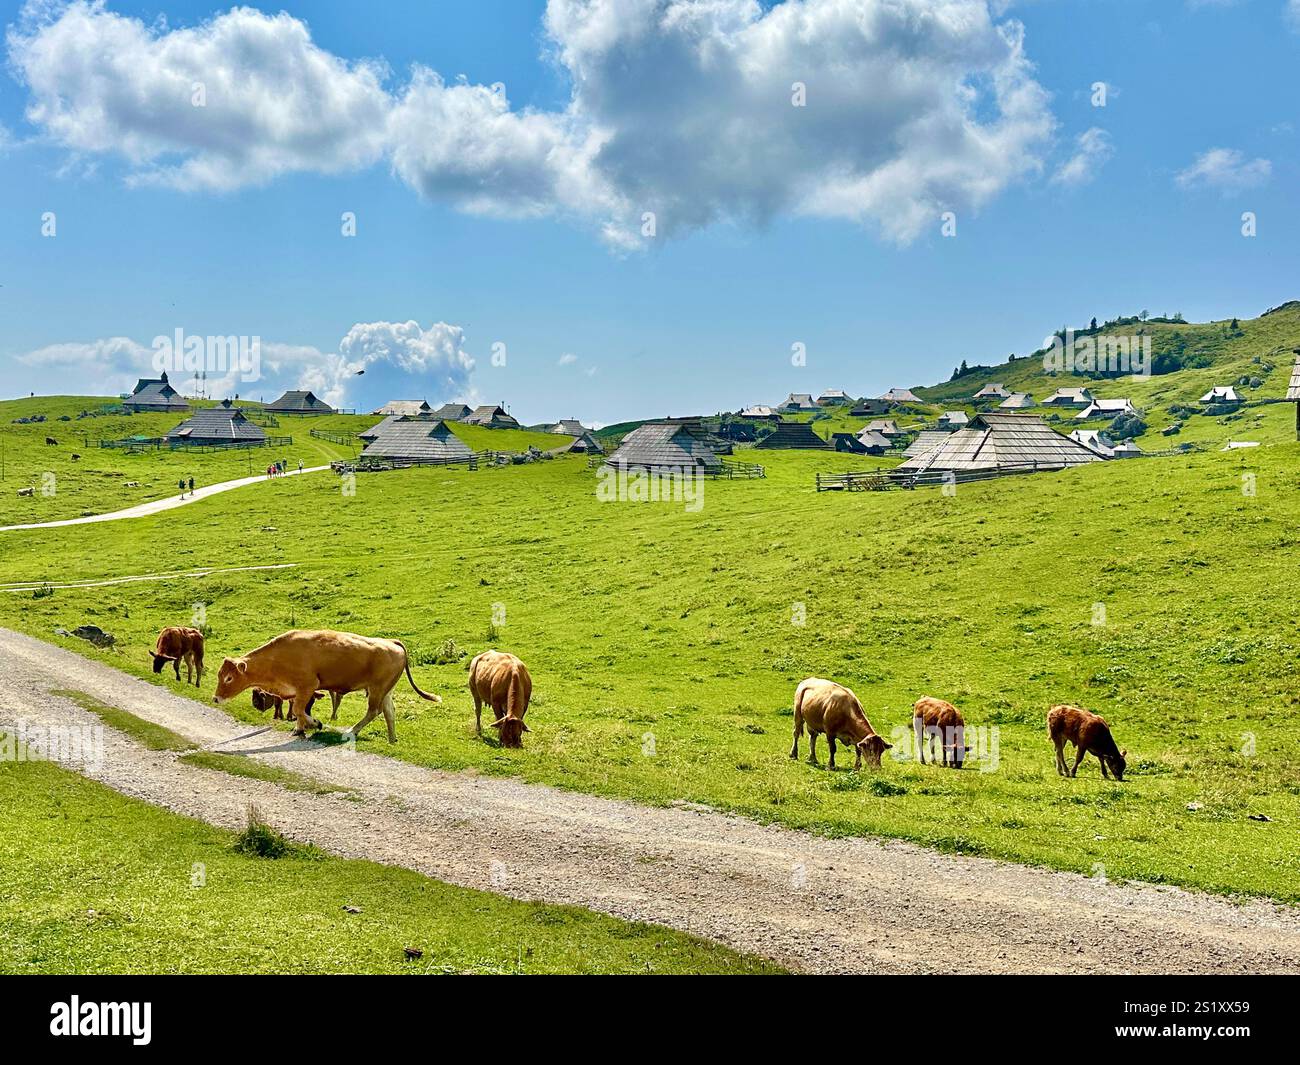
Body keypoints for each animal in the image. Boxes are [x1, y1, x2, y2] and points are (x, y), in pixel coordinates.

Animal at [213, 630, 440, 741]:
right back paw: (392, 739)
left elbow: (299, 709)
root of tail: (391, 642)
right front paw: (299, 729)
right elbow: (299, 710)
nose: (215, 698)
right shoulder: (299, 690)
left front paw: (315, 724)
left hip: (376, 689)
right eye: (220, 675)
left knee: (373, 711)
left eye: (229, 678)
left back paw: (351, 731)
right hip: (386, 690)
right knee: (389, 712)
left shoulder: (308, 685)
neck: (278, 657)